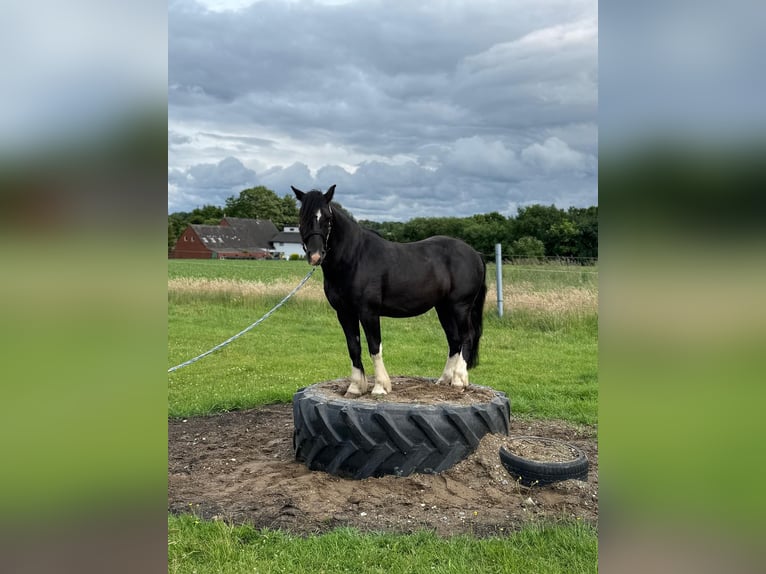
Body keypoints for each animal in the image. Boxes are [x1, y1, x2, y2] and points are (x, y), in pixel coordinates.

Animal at [292, 184, 487, 398]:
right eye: (302, 217)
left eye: (327, 218)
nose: (316, 255)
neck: (355, 258)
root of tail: (474, 253)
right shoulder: (344, 313)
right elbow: (353, 346)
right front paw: (355, 387)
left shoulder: (368, 312)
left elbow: (374, 346)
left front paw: (380, 387)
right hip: (443, 308)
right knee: (454, 340)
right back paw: (444, 380)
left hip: (460, 306)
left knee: (467, 336)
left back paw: (459, 380)